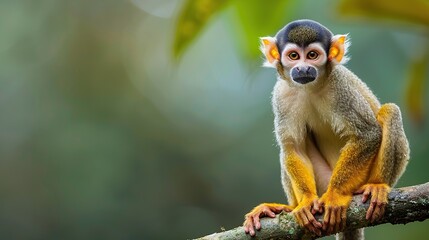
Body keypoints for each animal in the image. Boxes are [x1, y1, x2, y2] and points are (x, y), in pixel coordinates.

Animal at [242, 19, 410, 239]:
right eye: (293, 56)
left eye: (312, 55)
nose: (303, 69)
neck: (309, 87)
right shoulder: (281, 94)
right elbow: (294, 148)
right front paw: (305, 201)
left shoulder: (340, 87)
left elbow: (367, 134)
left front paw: (336, 195)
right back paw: (288, 208)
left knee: (390, 111)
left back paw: (377, 186)